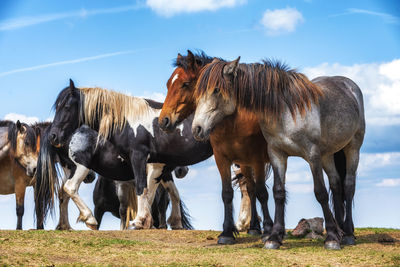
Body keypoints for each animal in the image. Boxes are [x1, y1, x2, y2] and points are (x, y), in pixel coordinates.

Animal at [35, 119, 195, 230]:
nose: (183, 171)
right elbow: (146, 196)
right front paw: (142, 222)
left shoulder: (163, 173)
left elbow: (174, 194)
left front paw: (176, 222)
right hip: (80, 167)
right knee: (70, 188)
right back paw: (89, 219)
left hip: (70, 169)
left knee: (63, 194)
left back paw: (65, 226)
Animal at [191, 57, 366, 251]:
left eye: (216, 90)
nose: (197, 129)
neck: (287, 110)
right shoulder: (277, 154)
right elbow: (278, 192)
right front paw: (274, 237)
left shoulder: (312, 155)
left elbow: (320, 192)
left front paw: (332, 238)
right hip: (328, 154)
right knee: (336, 184)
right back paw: (341, 229)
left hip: (352, 148)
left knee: (348, 186)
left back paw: (347, 233)